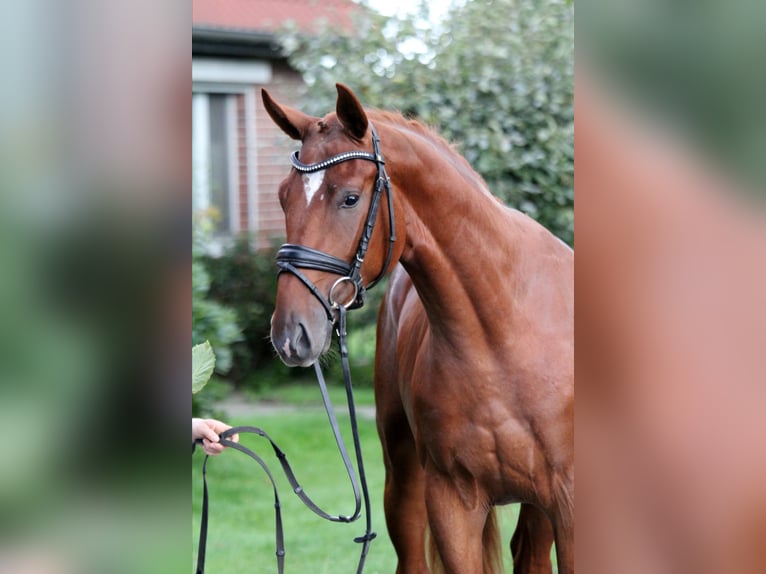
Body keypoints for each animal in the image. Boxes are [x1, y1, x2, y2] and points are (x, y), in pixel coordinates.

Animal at [264, 82, 576, 574]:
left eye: (349, 198)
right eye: (283, 196)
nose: (290, 334)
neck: (503, 338)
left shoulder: (569, 505)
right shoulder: (452, 501)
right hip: (403, 479)